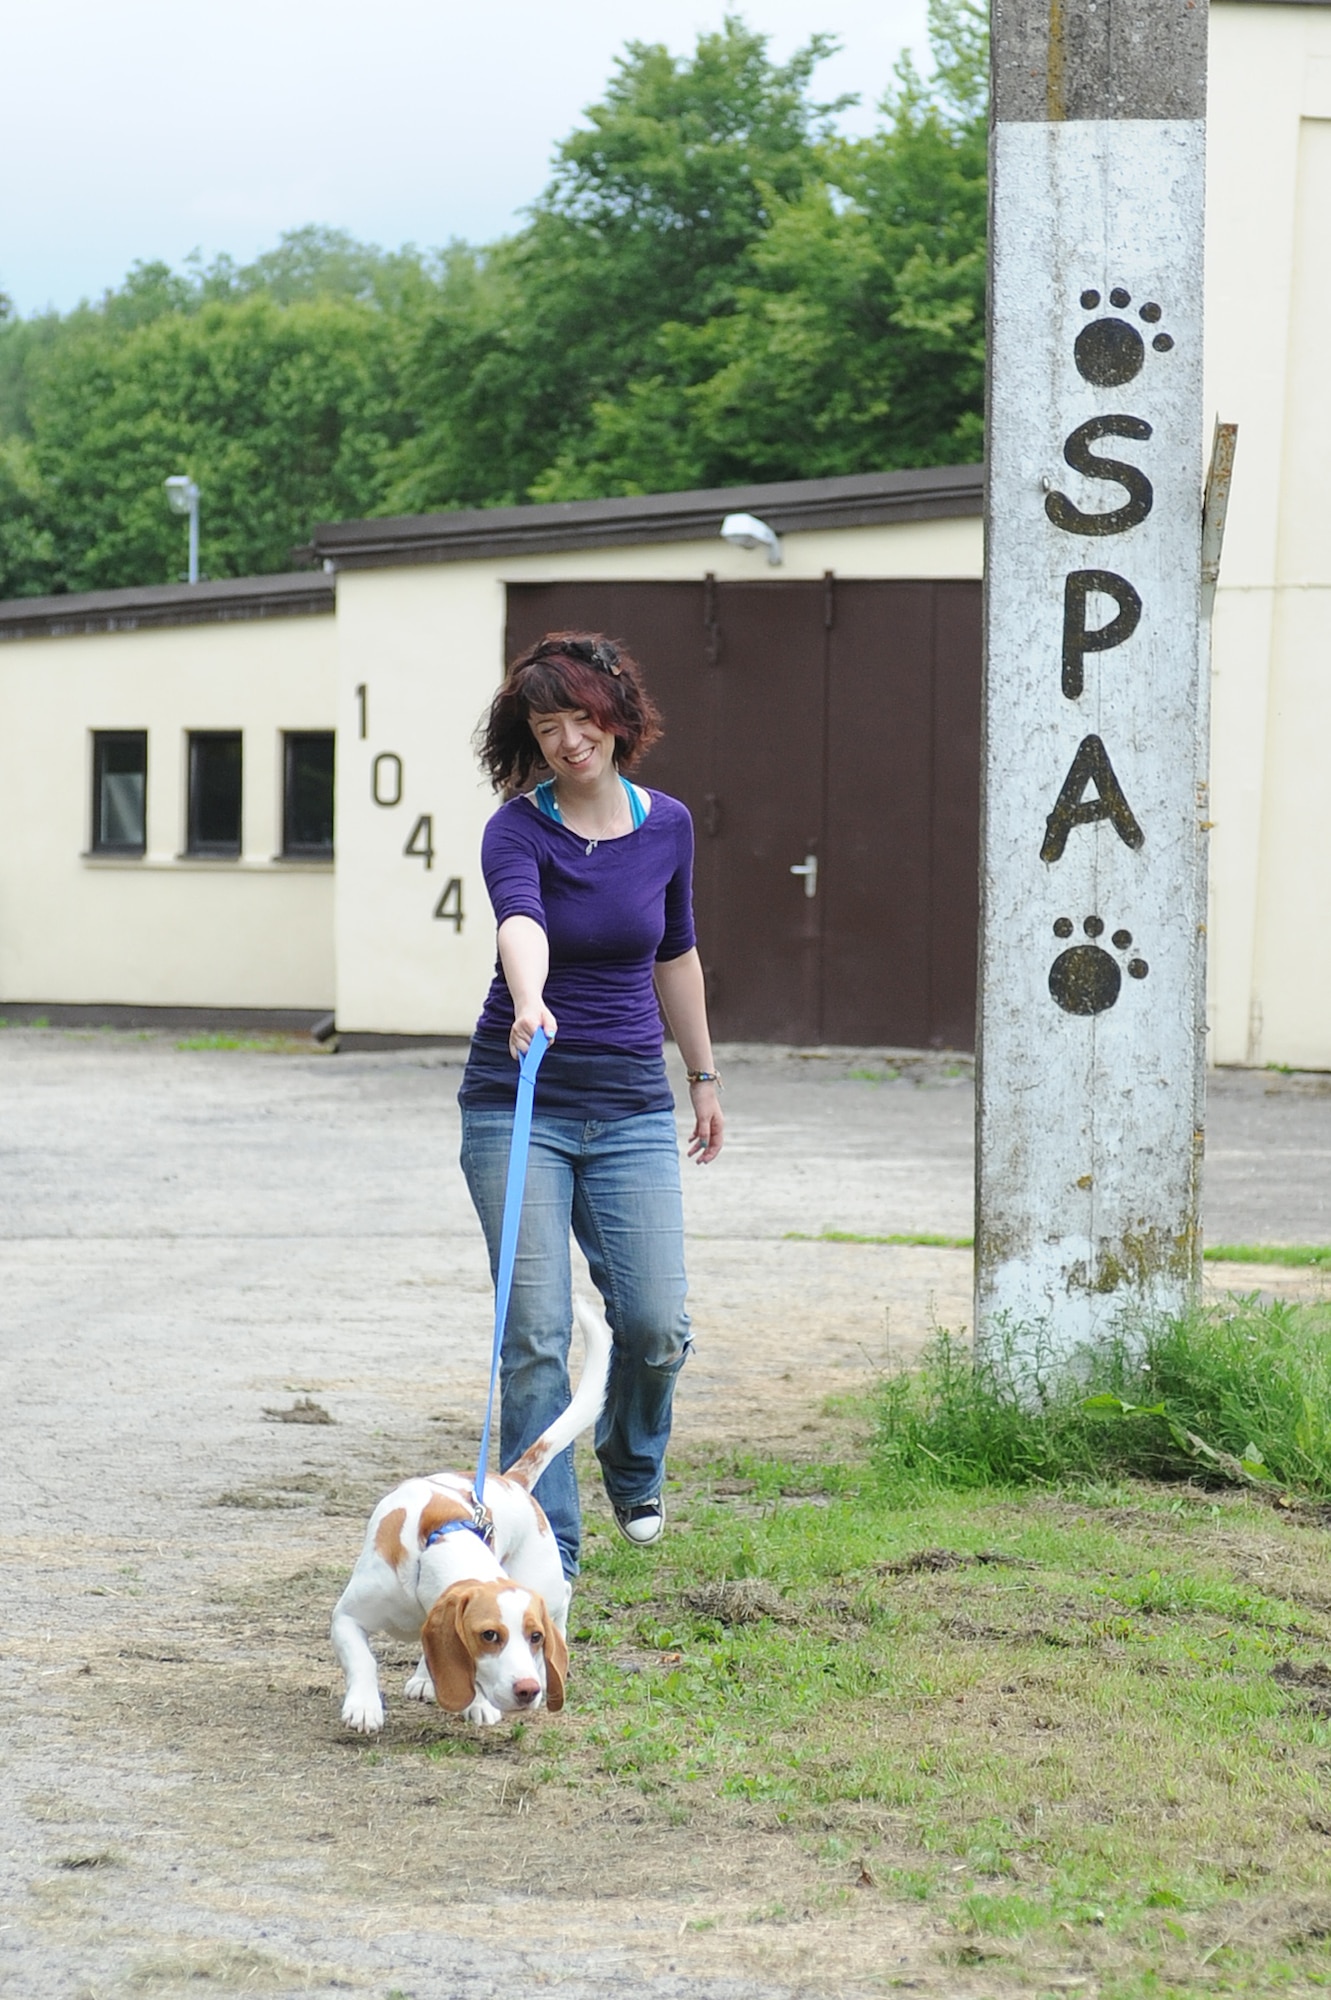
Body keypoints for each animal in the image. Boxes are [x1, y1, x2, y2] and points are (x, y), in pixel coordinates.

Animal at [329, 1296, 607, 1736]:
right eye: (489, 1635)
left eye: (534, 1637)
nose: (528, 1689)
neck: (430, 1551)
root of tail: (511, 1480)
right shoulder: (346, 1616)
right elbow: (363, 1659)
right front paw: (364, 1706)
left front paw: (477, 1704)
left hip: (540, 1580)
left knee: (563, 1593)